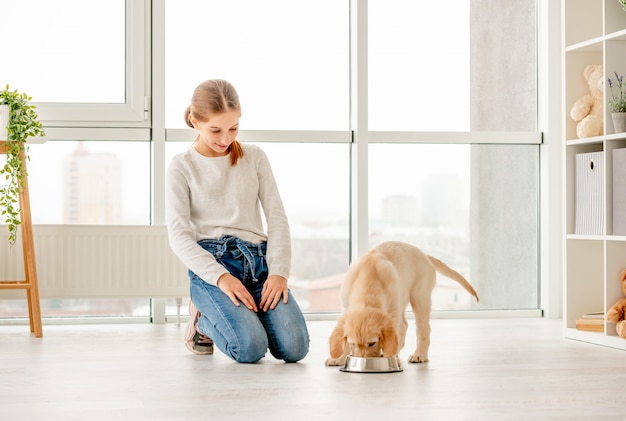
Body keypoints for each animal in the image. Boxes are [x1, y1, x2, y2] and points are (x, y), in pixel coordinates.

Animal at [324, 240, 476, 364]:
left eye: (372, 343)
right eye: (353, 343)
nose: (363, 360)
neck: (367, 285)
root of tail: (424, 254)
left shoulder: (393, 310)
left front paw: (390, 356)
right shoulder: (346, 306)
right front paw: (338, 358)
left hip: (419, 296)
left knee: (423, 328)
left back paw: (419, 354)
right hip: (403, 298)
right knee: (404, 325)